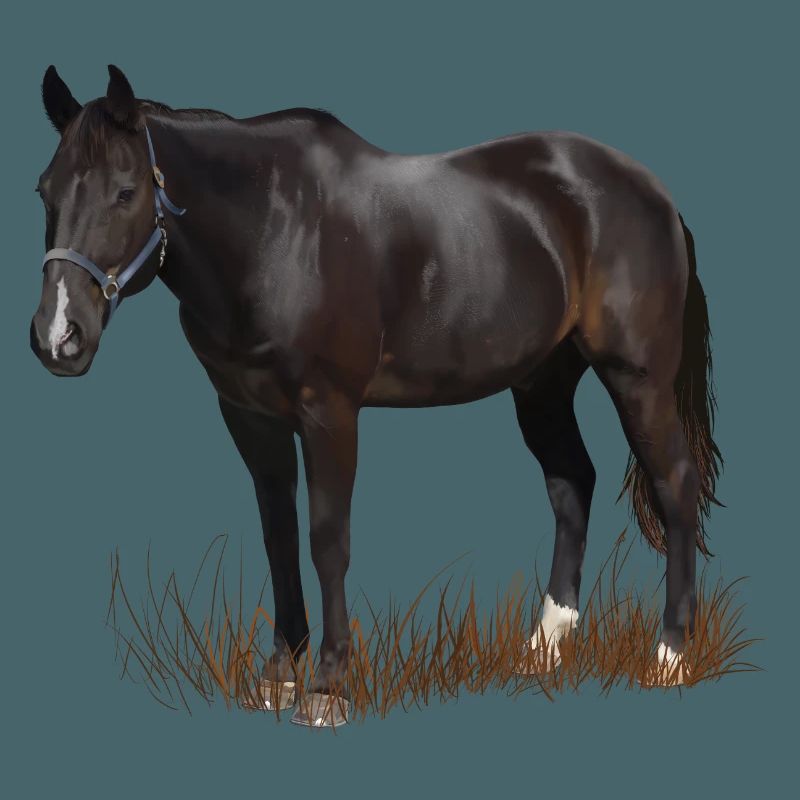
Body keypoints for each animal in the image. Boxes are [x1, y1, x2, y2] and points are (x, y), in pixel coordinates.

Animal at [30, 65, 722, 726]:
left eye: (125, 192)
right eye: (44, 190)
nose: (59, 336)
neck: (275, 230)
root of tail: (653, 192)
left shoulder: (329, 413)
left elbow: (327, 540)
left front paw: (328, 688)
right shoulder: (250, 417)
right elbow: (278, 537)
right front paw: (278, 676)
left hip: (637, 378)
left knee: (674, 484)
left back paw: (669, 655)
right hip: (541, 383)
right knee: (572, 483)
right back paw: (544, 647)